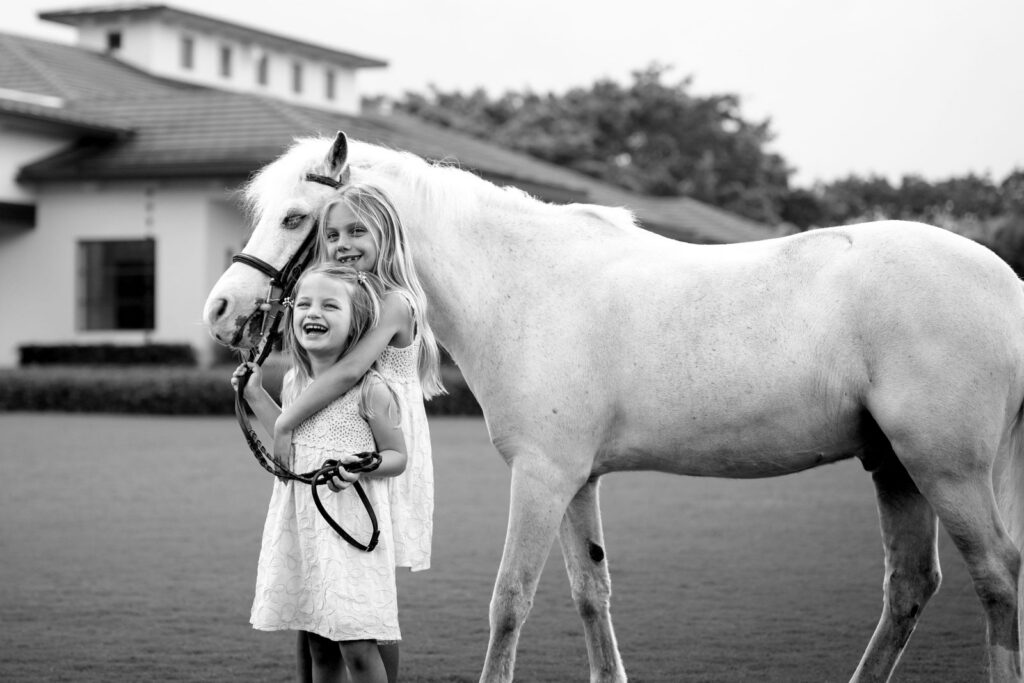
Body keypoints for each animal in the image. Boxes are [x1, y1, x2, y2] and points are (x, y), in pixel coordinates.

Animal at [204, 131, 1024, 683]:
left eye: (296, 217)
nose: (223, 310)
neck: (528, 283)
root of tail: (1006, 282)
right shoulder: (577, 480)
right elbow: (590, 591)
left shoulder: (540, 477)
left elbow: (511, 599)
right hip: (896, 466)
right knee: (911, 587)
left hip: (944, 469)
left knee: (997, 577)